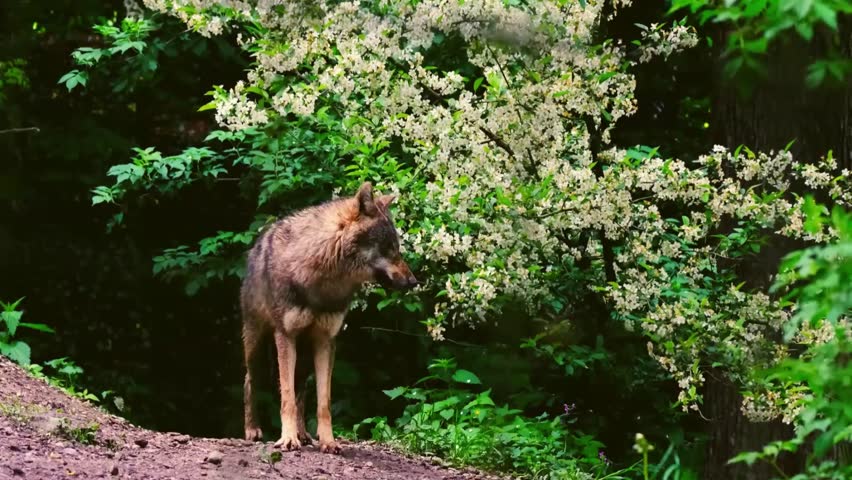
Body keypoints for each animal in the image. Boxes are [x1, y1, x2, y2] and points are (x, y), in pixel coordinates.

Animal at [240, 182, 417, 453]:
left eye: (397, 250)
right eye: (389, 250)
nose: (414, 282)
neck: (322, 282)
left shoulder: (326, 341)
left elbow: (323, 402)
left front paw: (328, 441)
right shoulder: (286, 336)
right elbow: (286, 398)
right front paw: (287, 439)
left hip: (303, 358)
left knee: (301, 392)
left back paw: (303, 435)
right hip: (258, 347)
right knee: (250, 382)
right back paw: (253, 430)